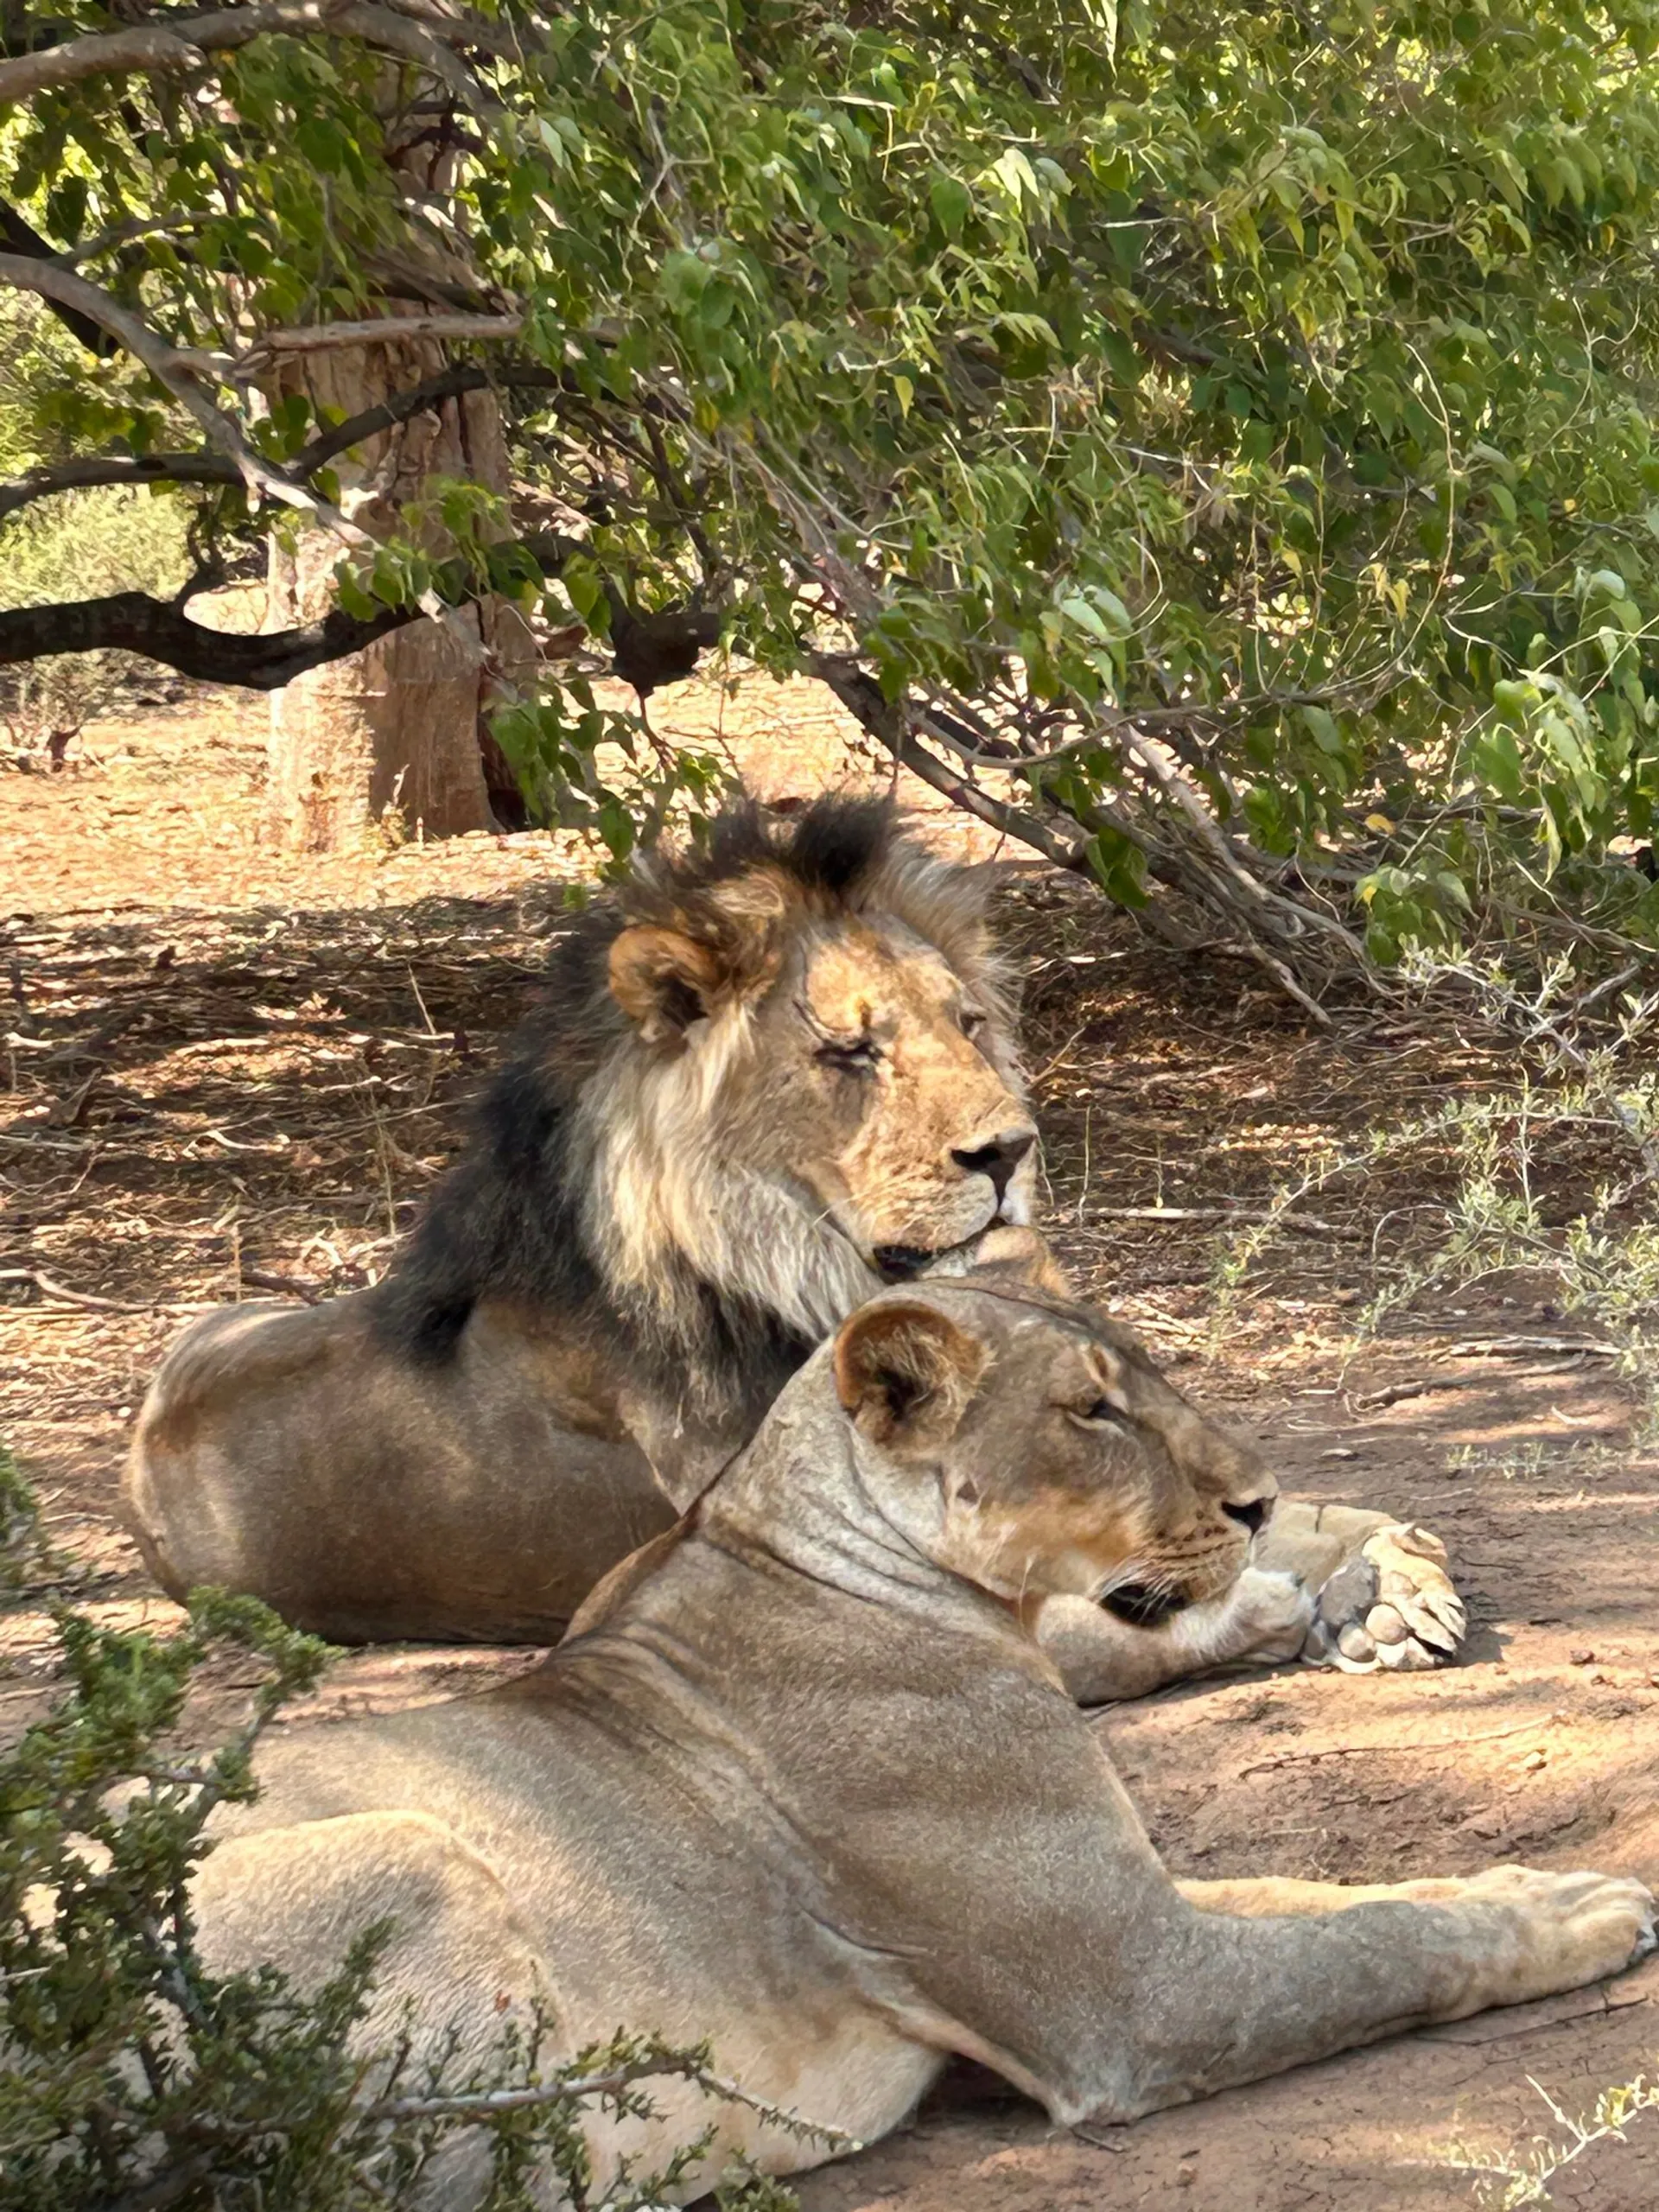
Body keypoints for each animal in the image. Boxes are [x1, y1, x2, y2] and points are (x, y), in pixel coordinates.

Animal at [125, 795, 1462, 1694]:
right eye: (850, 1052)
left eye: (968, 1024)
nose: (1011, 1150)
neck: (808, 1286)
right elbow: (1138, 1608)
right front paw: (1294, 1599)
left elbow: (1282, 1505)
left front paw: (1390, 1575)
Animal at [193, 1280, 1655, 2206]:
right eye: (1094, 1411)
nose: (1262, 1501)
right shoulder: (1135, 2002)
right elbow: (1380, 1950)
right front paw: (1577, 1920)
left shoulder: (1134, 1911)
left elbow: (1336, 1898)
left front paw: (1541, 1882)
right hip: (407, 1851)